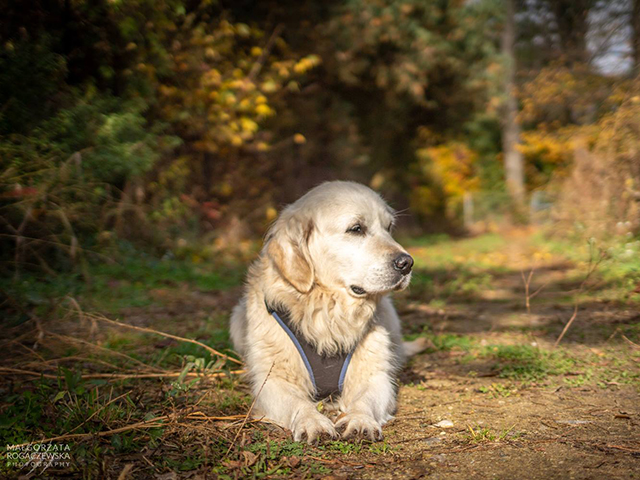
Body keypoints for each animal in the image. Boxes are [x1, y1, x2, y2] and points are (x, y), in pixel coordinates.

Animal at [229, 181, 420, 442]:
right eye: (356, 228)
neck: (328, 308)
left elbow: (365, 399)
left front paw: (360, 420)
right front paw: (312, 421)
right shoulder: (273, 381)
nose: (407, 263)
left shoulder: (374, 375)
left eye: (389, 227)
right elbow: (297, 402)